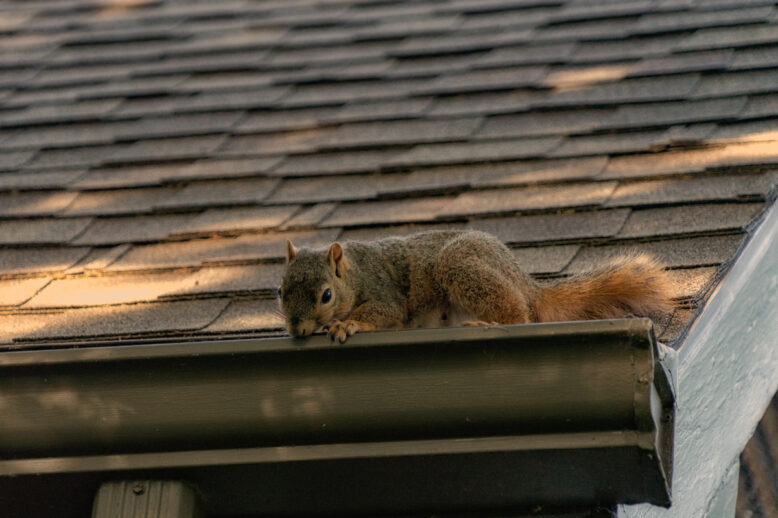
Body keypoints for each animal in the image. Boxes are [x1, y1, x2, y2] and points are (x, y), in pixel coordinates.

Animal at [278, 230, 674, 343]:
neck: (355, 273)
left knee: (518, 317)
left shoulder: (382, 292)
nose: (296, 330)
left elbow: (383, 312)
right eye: (280, 291)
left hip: (461, 266)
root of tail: (527, 284)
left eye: (326, 295)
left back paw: (491, 323)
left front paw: (346, 323)